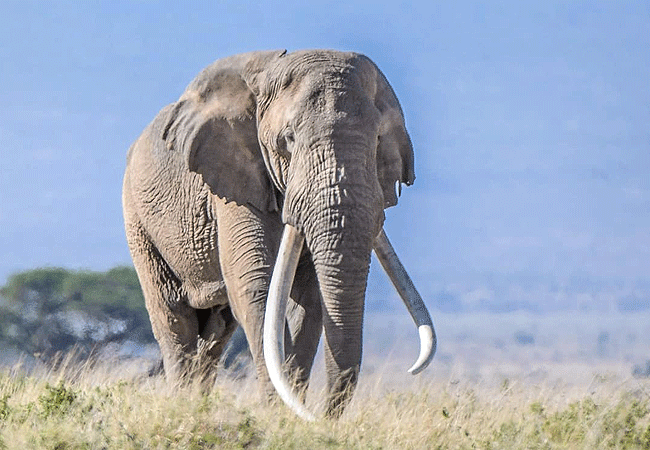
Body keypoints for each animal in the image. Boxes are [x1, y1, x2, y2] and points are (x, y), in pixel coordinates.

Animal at [122, 49, 436, 420]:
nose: (323, 418)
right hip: (137, 217)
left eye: (376, 141)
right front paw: (280, 413)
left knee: (217, 330)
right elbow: (256, 285)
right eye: (288, 140)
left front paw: (291, 411)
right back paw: (182, 406)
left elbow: (310, 300)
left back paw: (200, 405)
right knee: (173, 317)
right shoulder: (234, 180)